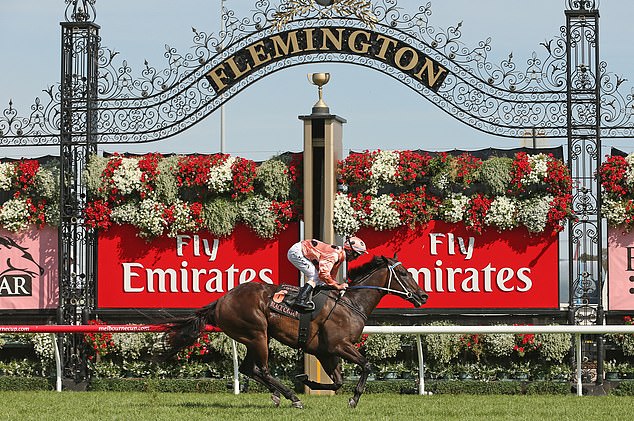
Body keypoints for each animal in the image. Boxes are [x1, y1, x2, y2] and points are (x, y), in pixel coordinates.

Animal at [159, 254, 424, 408]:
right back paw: (292, 397)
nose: (423, 295)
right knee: (263, 370)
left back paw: (278, 395)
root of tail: (221, 301)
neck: (351, 303)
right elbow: (367, 366)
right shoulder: (339, 345)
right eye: (403, 273)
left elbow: (337, 382)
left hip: (252, 338)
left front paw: (306, 379)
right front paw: (354, 398)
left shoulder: (325, 352)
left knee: (248, 368)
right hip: (257, 334)